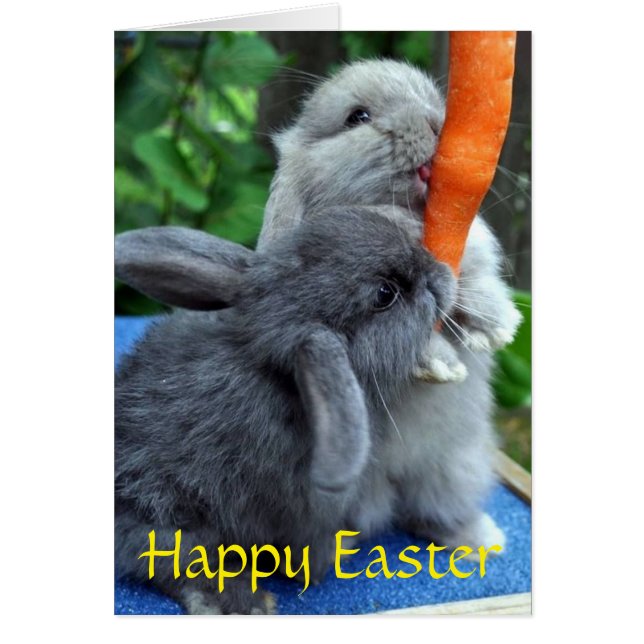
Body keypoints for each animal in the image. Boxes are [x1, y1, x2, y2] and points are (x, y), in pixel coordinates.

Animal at [114, 205, 455, 614]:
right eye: (385, 294)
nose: (438, 269)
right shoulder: (313, 514)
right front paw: (332, 558)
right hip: (169, 522)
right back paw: (246, 601)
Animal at [257, 59, 522, 553]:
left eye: (436, 101)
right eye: (357, 117)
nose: (436, 123)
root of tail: (389, 486)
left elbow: (474, 278)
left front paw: (498, 326)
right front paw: (441, 365)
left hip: (456, 468)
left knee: (432, 512)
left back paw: (481, 539)